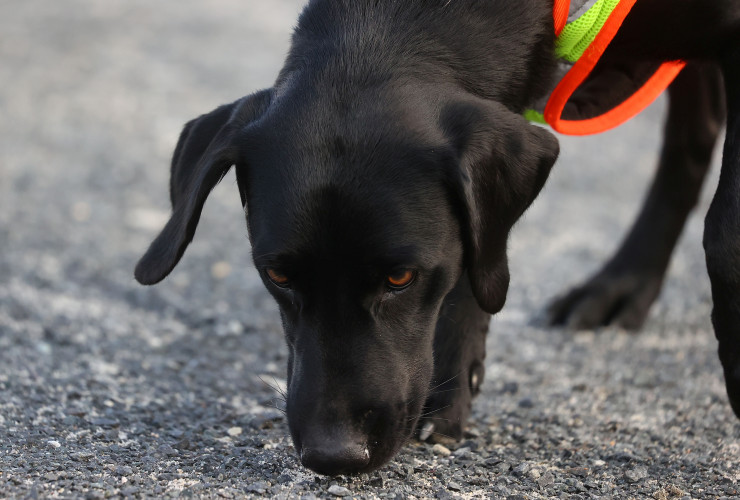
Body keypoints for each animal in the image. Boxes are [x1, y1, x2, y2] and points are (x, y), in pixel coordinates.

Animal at [135, 0, 740, 475]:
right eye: (278, 275)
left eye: (400, 277)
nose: (334, 456)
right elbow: (477, 253)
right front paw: (452, 390)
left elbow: (723, 235)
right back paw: (623, 285)